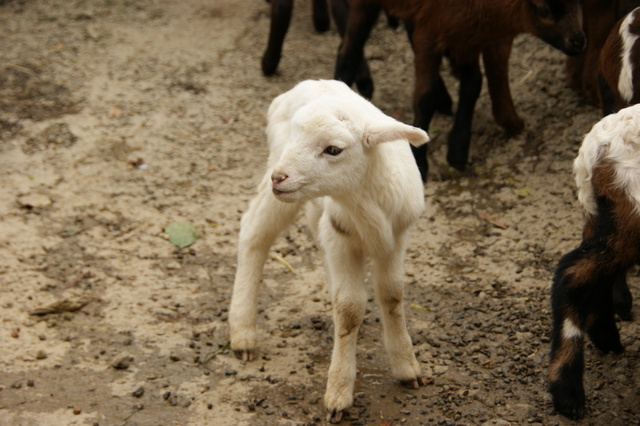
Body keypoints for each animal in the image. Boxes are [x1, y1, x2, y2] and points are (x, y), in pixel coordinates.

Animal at [229, 80, 430, 422]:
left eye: (333, 149)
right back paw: (242, 331)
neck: (363, 202)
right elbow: (349, 309)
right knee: (254, 232)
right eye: (297, 137)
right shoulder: (340, 238)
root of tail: (310, 82)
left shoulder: (396, 239)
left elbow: (392, 294)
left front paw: (406, 366)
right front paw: (338, 392)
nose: (280, 178)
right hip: (280, 181)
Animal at [332, 0, 588, 181]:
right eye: (544, 10)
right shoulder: (432, 32)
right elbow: (425, 98)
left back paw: (445, 100)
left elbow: (473, 84)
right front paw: (421, 162)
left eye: (579, 2)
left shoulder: (466, 39)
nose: (579, 42)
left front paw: (458, 150)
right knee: (349, 48)